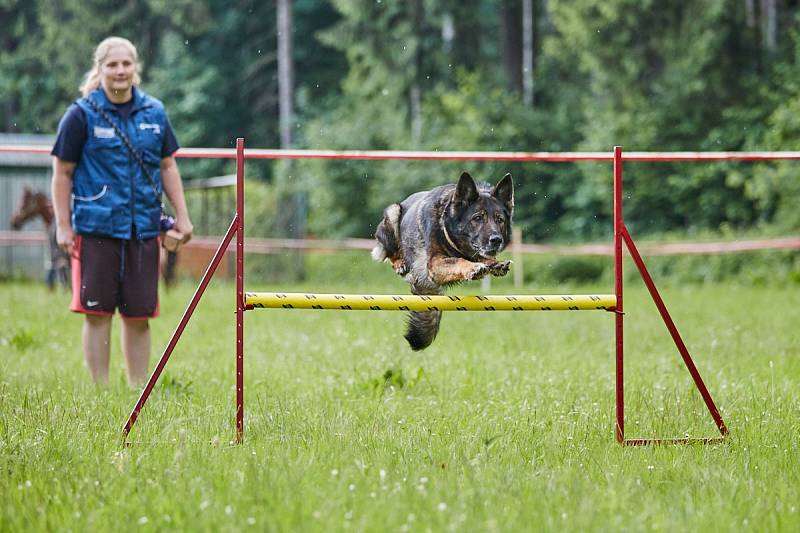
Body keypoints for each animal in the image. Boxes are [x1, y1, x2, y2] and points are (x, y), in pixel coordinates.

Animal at [374, 170, 516, 352]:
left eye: (500, 220)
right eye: (477, 218)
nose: (496, 240)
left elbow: (482, 257)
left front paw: (494, 264)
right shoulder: (434, 263)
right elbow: (459, 261)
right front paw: (473, 268)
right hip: (393, 212)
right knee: (391, 252)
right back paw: (400, 263)